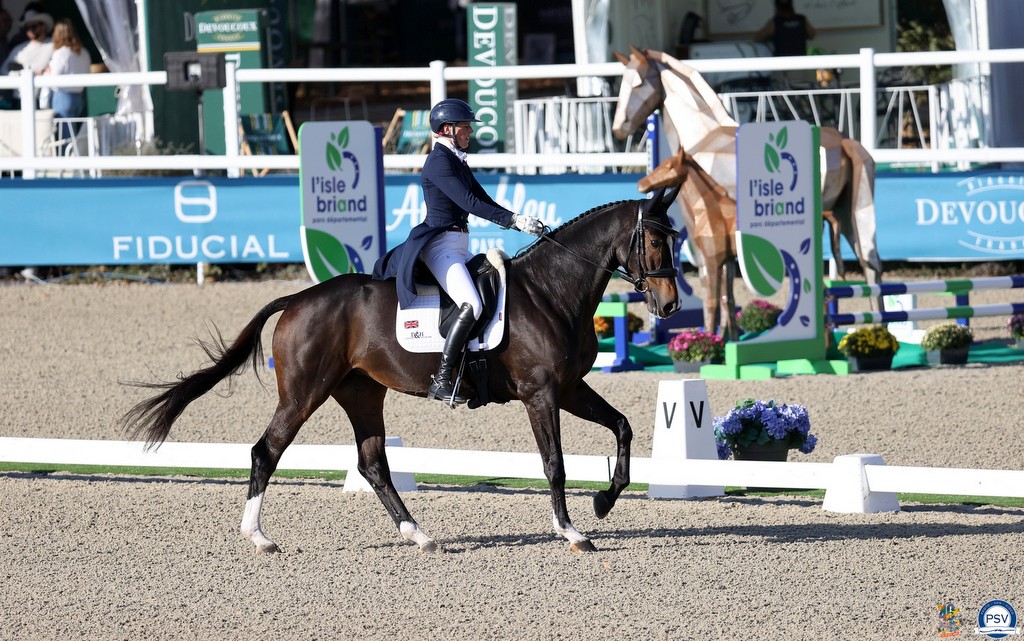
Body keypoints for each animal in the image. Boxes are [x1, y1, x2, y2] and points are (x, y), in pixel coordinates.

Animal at [119, 186, 682, 555]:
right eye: (656, 243)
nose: (671, 305)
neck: (552, 290)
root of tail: (297, 299)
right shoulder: (540, 392)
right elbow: (555, 463)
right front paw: (573, 532)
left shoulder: (568, 387)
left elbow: (623, 428)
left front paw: (604, 502)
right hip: (303, 393)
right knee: (267, 450)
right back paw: (259, 537)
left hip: (362, 393)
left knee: (373, 464)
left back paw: (420, 535)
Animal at [612, 47, 884, 337]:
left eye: (638, 82)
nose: (619, 129)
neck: (704, 136)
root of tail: (844, 142)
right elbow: (728, 290)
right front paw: (728, 334)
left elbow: (718, 286)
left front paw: (718, 336)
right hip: (851, 217)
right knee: (871, 264)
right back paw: (876, 327)